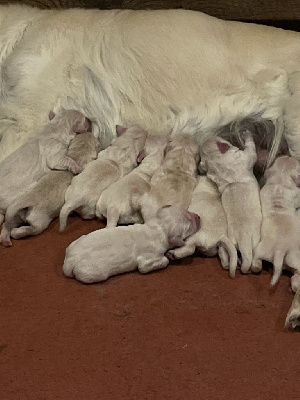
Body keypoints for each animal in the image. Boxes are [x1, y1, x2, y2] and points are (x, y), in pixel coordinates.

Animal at [62, 206, 200, 284]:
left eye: (186, 210)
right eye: (188, 226)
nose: (199, 217)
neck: (158, 227)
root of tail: (69, 261)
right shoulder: (147, 260)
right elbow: (151, 265)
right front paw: (167, 257)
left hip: (75, 242)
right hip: (90, 273)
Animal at [199, 131, 262, 276]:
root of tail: (242, 238)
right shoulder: (247, 157)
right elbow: (251, 149)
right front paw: (247, 134)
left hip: (229, 240)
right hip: (255, 242)